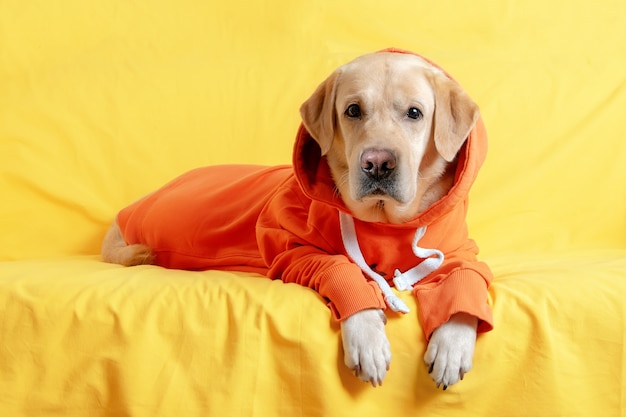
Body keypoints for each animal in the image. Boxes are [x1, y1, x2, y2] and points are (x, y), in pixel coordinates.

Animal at [101, 48, 492, 390]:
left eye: (414, 113)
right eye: (353, 110)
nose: (377, 163)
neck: (383, 221)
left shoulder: (458, 252)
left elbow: (465, 282)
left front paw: (452, 347)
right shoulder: (291, 249)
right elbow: (342, 267)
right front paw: (367, 337)